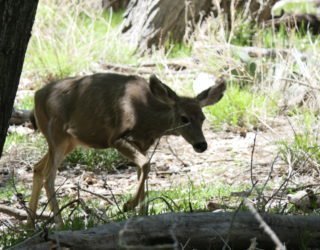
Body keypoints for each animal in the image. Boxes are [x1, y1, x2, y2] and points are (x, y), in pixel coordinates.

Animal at [28, 73, 226, 228]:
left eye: (202, 118)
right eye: (184, 118)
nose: (201, 145)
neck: (148, 118)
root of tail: (37, 95)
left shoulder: (143, 144)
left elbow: (143, 171)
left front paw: (142, 214)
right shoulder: (116, 138)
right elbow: (145, 165)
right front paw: (128, 205)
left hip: (69, 141)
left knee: (38, 168)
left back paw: (30, 224)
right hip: (57, 134)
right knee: (49, 176)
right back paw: (60, 225)